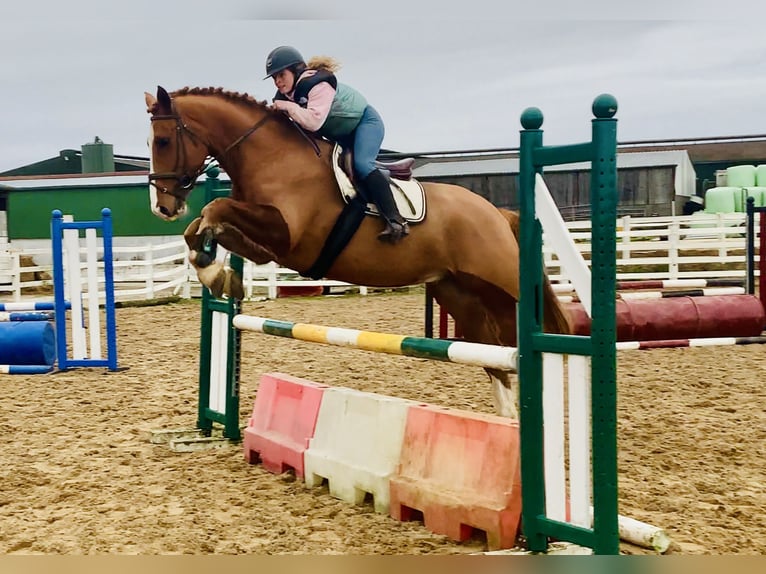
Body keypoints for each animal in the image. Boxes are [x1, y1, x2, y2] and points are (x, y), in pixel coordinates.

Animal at [143, 85, 571, 419]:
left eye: (162, 141)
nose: (162, 207)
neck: (273, 156)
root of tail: (496, 212)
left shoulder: (287, 238)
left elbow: (215, 209)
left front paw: (215, 271)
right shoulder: (266, 244)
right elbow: (202, 227)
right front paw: (217, 274)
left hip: (501, 285)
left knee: (524, 339)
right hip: (458, 293)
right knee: (494, 355)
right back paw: (508, 423)